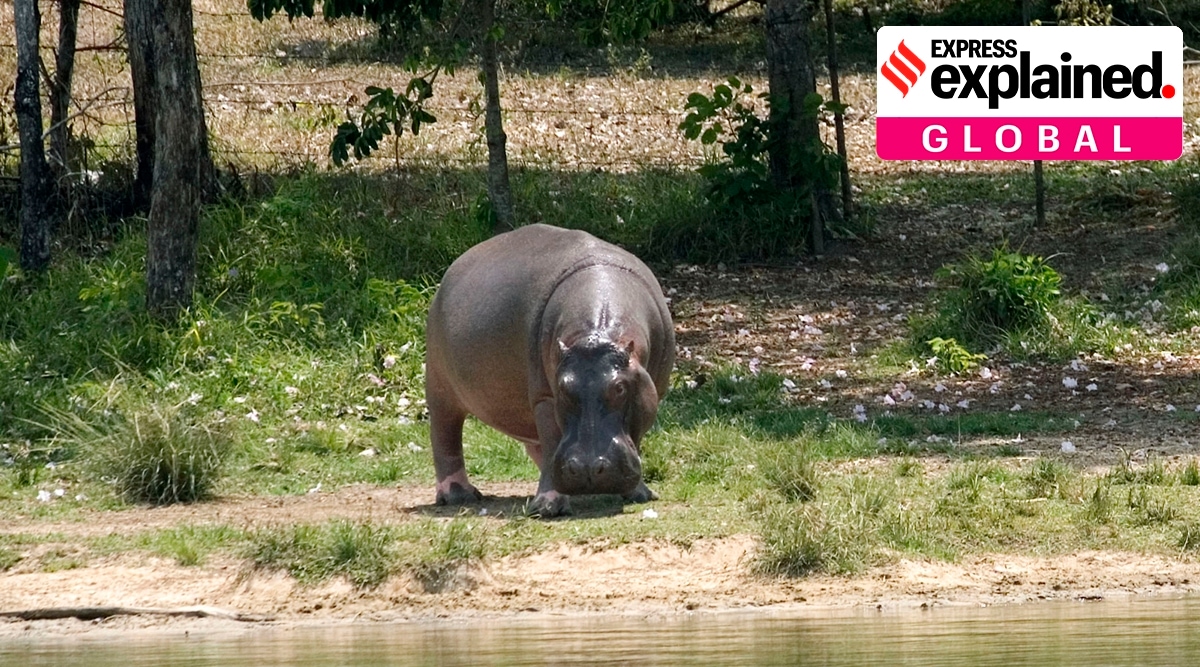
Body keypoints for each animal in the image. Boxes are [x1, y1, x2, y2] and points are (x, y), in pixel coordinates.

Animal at [425, 224, 675, 517]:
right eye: (563, 388)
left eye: (620, 388)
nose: (588, 470)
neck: (594, 336)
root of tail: (454, 267)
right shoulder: (545, 396)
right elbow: (553, 438)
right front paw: (547, 507)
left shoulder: (650, 391)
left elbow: (636, 437)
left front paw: (640, 495)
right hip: (440, 387)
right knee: (445, 435)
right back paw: (459, 495)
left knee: (537, 446)